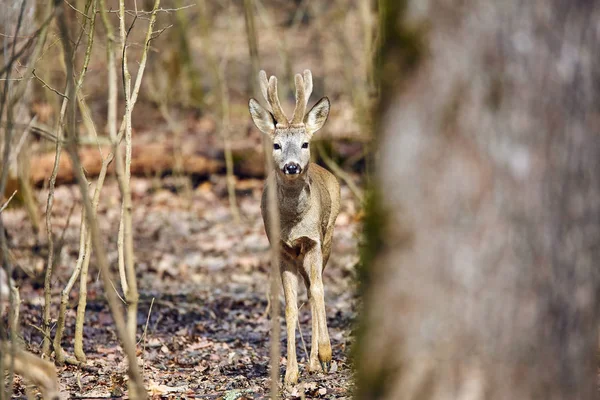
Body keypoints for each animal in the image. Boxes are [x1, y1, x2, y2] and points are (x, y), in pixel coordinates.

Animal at [248, 70, 340, 386]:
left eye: (305, 144)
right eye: (276, 145)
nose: (291, 167)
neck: (293, 222)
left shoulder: (313, 241)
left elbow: (319, 291)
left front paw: (325, 354)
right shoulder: (281, 249)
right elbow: (288, 306)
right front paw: (289, 373)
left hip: (329, 237)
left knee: (316, 288)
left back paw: (319, 359)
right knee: (307, 290)